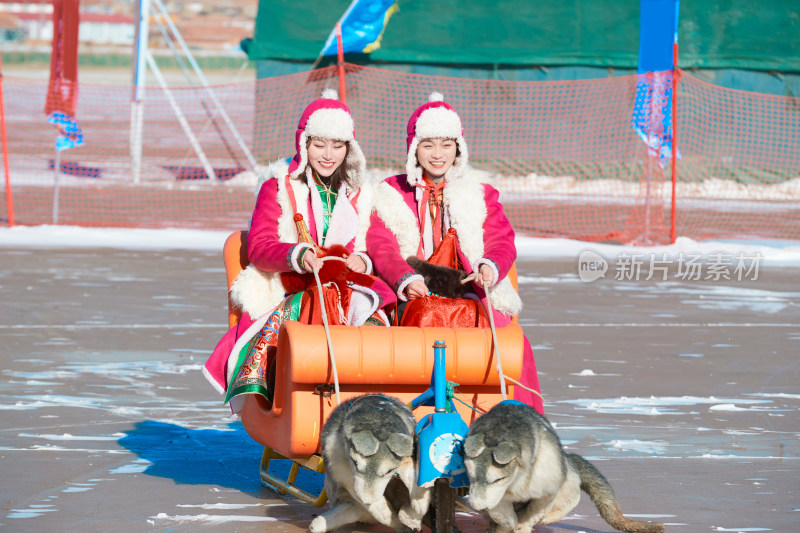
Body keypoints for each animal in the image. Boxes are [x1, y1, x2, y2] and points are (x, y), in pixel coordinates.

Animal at [308, 392, 432, 528]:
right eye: (355, 462)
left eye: (390, 471)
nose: (367, 501)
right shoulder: (344, 474)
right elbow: (383, 511)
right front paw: (402, 521)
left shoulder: (406, 460)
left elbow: (417, 488)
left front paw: (412, 516)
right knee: (316, 524)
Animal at [460, 402, 664, 528]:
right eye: (471, 477)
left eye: (498, 479)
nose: (477, 506)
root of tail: (568, 458)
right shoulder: (496, 497)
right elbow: (502, 512)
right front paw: (507, 522)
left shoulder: (546, 488)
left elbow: (533, 513)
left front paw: (523, 524)